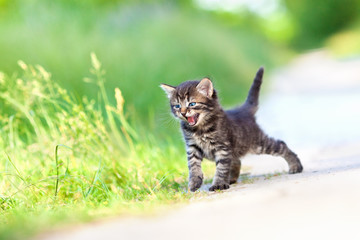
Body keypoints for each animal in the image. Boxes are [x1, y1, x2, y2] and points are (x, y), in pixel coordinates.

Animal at [162, 67, 302, 191]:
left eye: (192, 104)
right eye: (177, 106)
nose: (182, 112)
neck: (199, 129)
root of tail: (243, 111)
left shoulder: (222, 147)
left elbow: (222, 167)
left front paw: (218, 184)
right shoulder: (192, 147)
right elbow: (193, 165)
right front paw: (194, 182)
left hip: (258, 144)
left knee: (281, 144)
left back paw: (295, 165)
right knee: (237, 160)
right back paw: (231, 178)